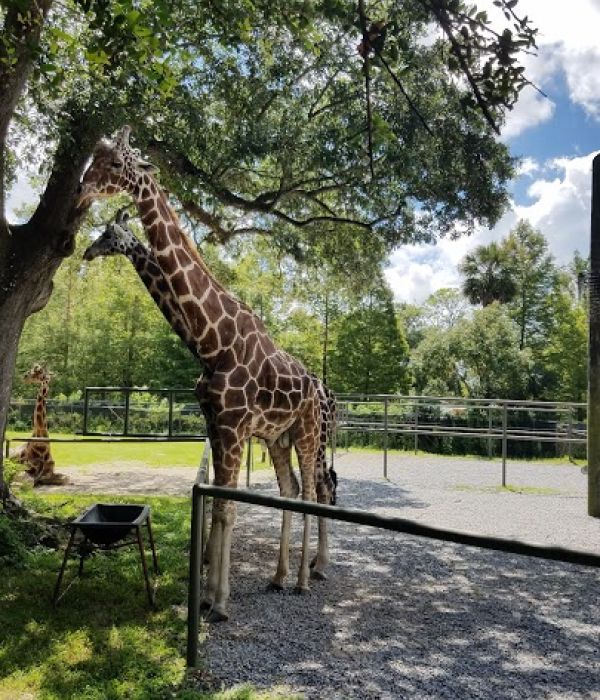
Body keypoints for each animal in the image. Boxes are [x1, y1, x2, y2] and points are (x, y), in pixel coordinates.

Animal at [77, 126, 335, 621]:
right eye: (92, 157)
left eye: (116, 163)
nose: (80, 191)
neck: (210, 342)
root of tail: (319, 388)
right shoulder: (215, 423)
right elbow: (215, 500)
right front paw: (206, 595)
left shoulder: (233, 426)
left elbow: (226, 509)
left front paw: (218, 602)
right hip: (279, 438)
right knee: (292, 490)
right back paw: (279, 577)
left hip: (310, 432)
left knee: (317, 491)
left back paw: (306, 577)